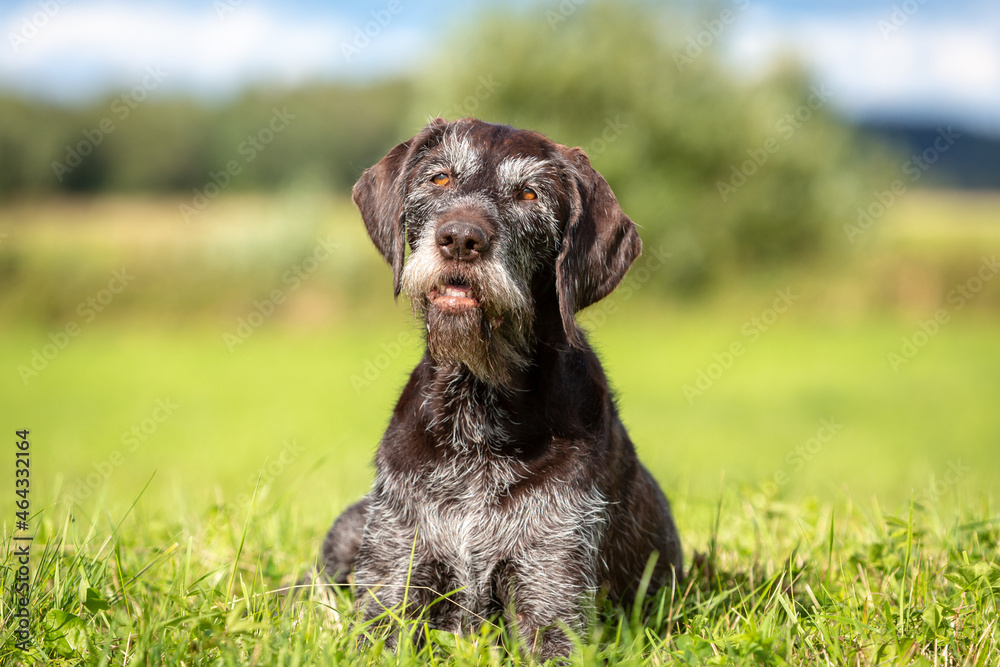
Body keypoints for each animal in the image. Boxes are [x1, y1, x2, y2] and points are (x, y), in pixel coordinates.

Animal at [320, 117, 680, 660]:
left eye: (529, 194)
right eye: (440, 177)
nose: (460, 238)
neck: (476, 413)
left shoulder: (551, 594)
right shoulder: (393, 577)